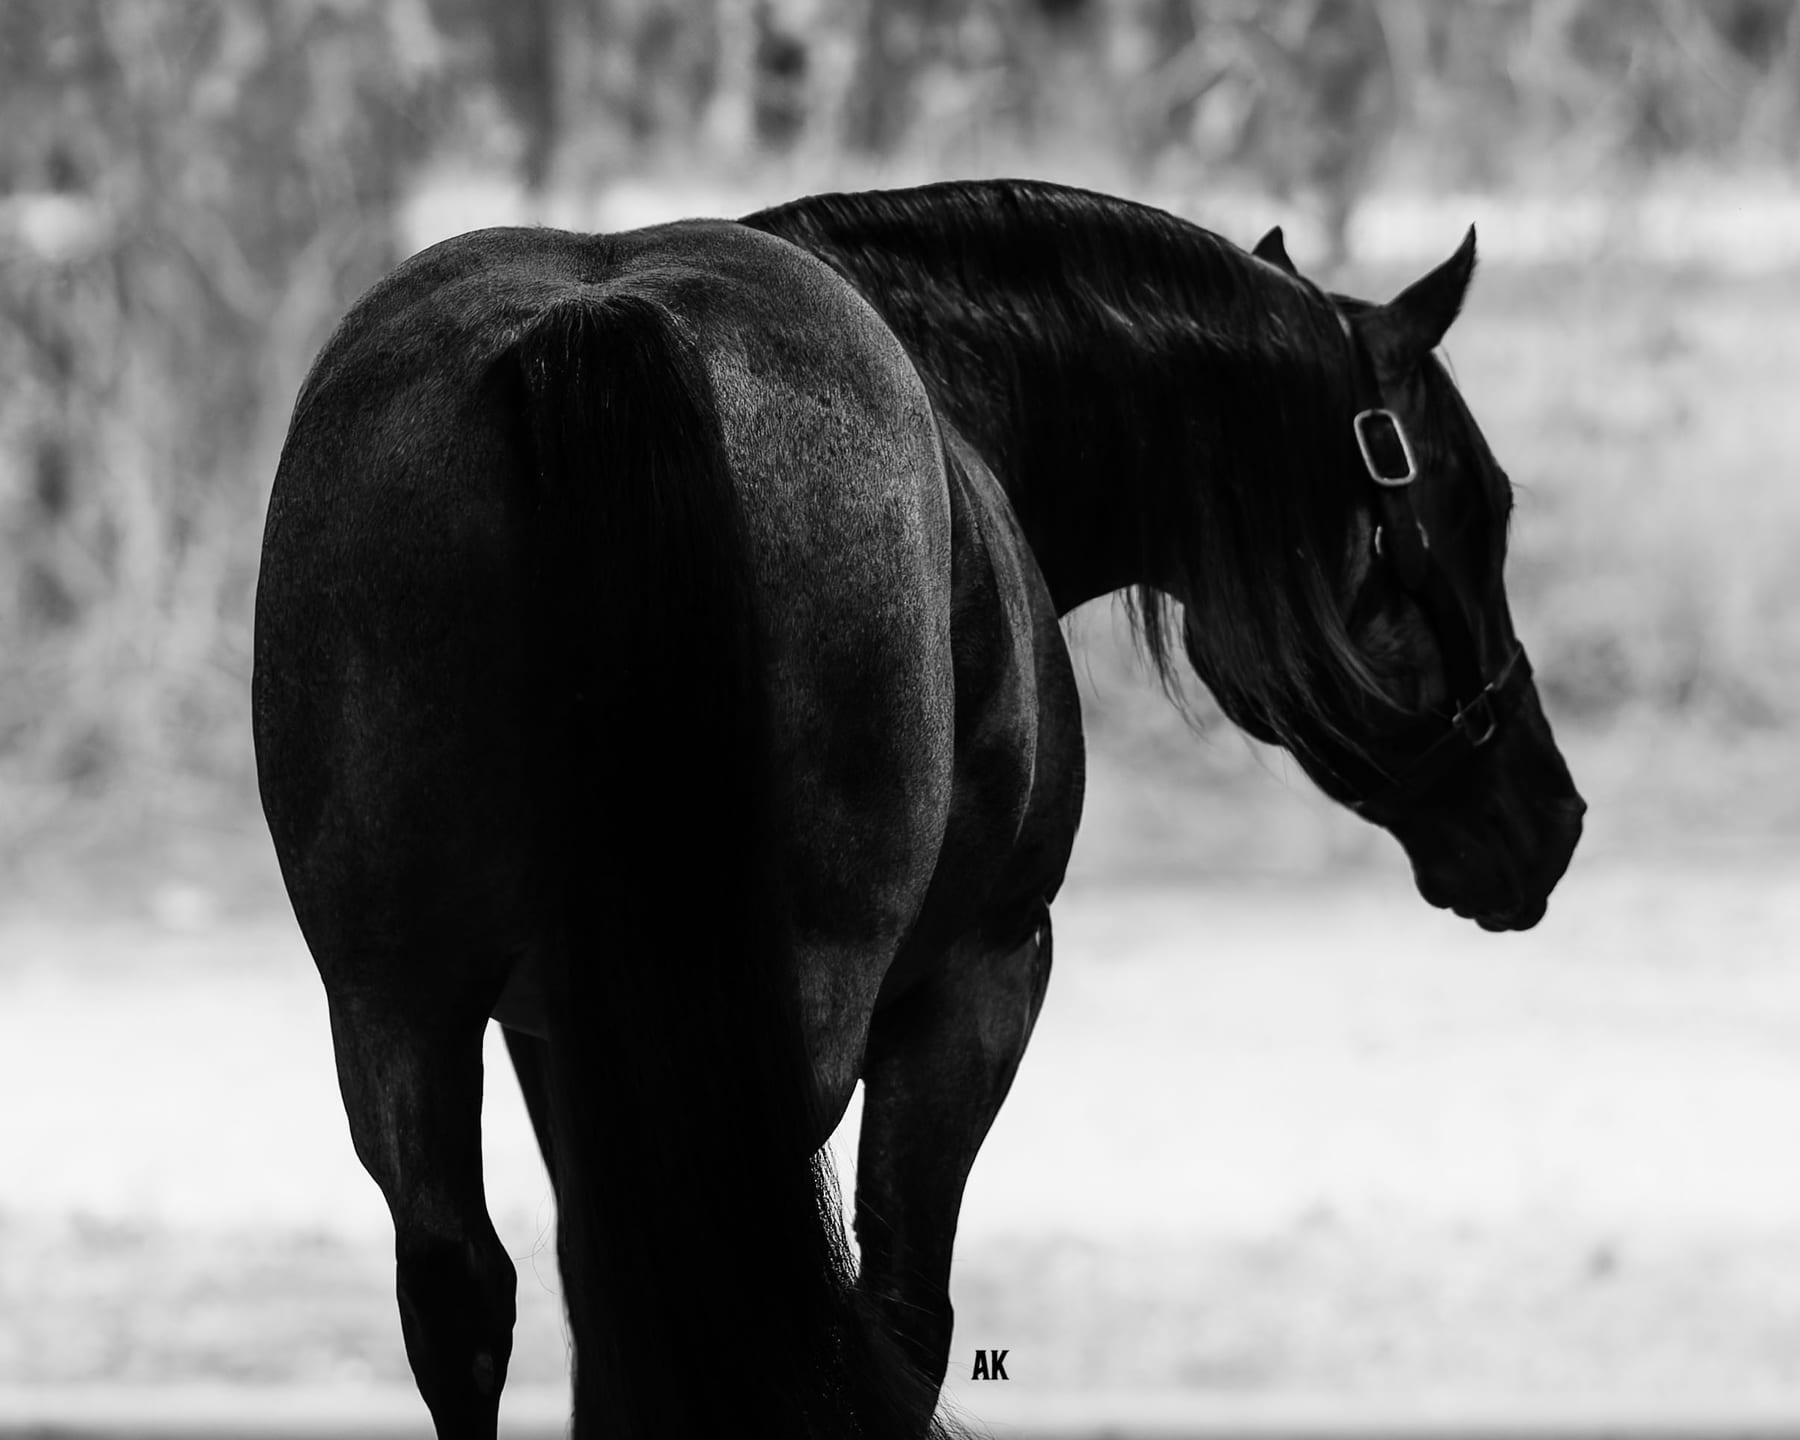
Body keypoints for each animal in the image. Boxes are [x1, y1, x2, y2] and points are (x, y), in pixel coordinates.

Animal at [251, 178, 1584, 1440]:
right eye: (1480, 504)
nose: (1553, 820)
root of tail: (594, 322)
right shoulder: (985, 974)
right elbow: (903, 1314)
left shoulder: (552, 1035)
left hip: (396, 1005)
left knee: (473, 1296)